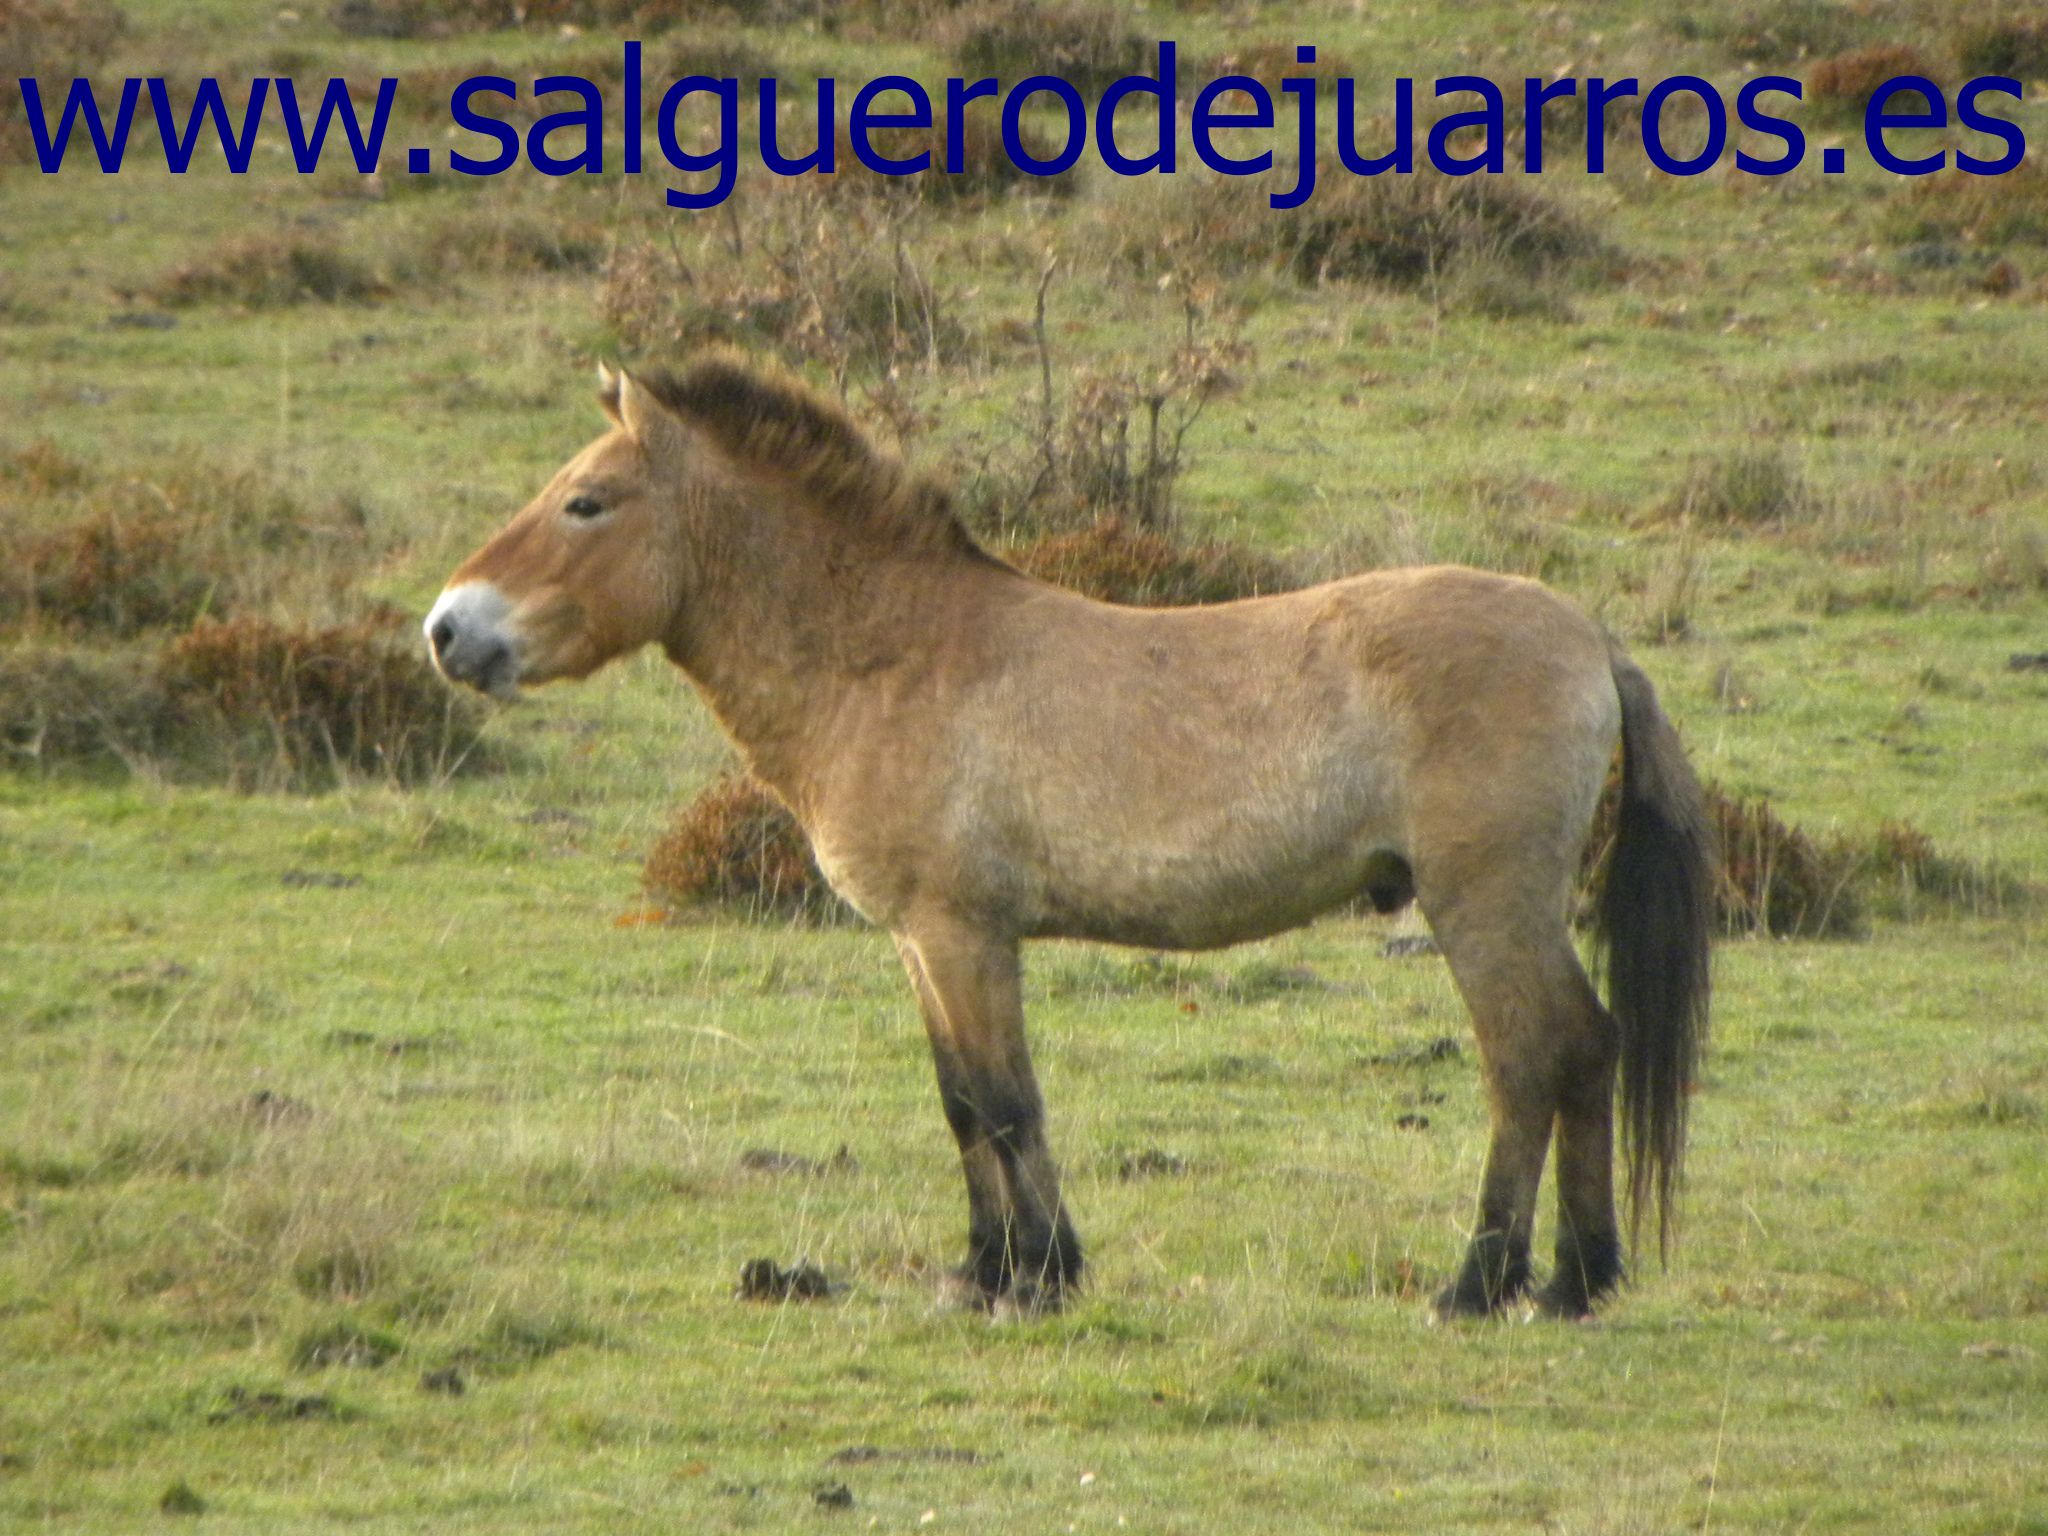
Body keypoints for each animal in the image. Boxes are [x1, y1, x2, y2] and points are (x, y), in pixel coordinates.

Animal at [425, 352, 1713, 1319]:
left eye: (585, 501)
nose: (446, 631)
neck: (891, 658)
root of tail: (1586, 636)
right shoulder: (922, 943)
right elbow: (960, 1100)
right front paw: (984, 1272)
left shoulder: (962, 933)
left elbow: (1004, 1101)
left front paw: (1039, 1277)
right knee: (1586, 1050)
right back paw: (1576, 1281)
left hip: (1482, 906)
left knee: (1531, 1059)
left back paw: (1482, 1285)